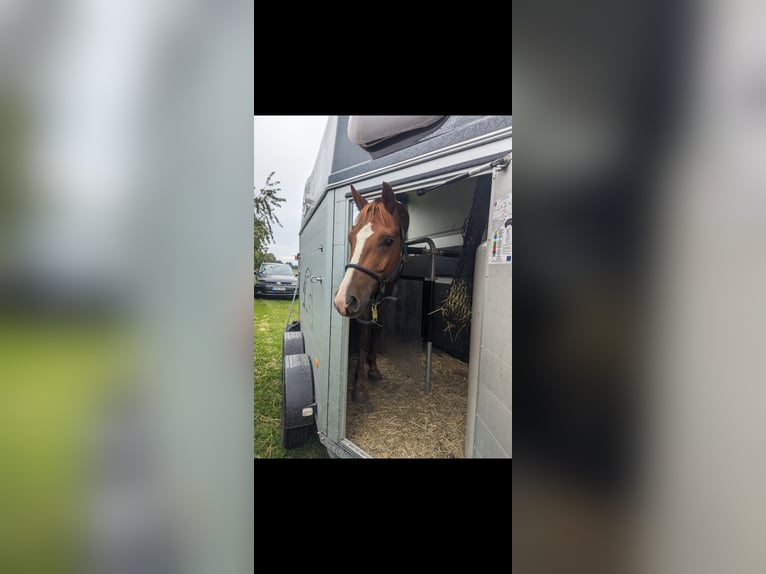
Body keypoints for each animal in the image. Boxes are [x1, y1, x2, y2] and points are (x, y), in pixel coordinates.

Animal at [332, 182, 412, 402]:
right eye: (350, 238)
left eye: (388, 240)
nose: (343, 300)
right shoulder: (364, 300)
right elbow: (364, 336)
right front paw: (359, 383)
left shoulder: (386, 291)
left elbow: (378, 328)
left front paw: (373, 367)